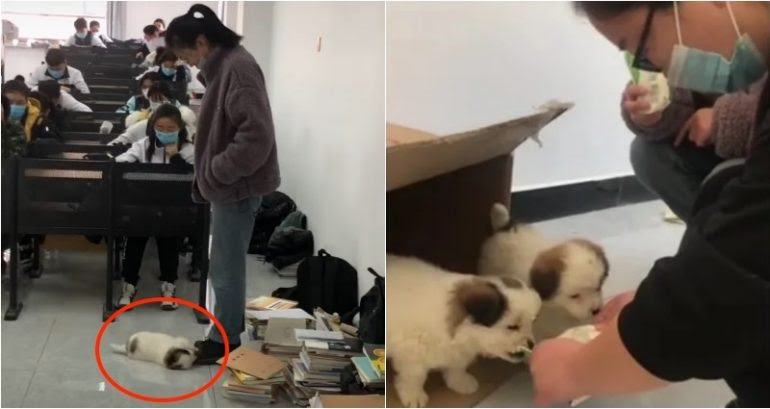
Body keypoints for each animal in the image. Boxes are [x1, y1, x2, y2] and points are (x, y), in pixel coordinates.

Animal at [384, 253, 540, 406]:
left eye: (533, 322)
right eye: (512, 327)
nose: (531, 344)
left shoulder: (459, 352)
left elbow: (457, 367)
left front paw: (460, 382)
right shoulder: (411, 354)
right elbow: (415, 377)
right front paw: (414, 395)